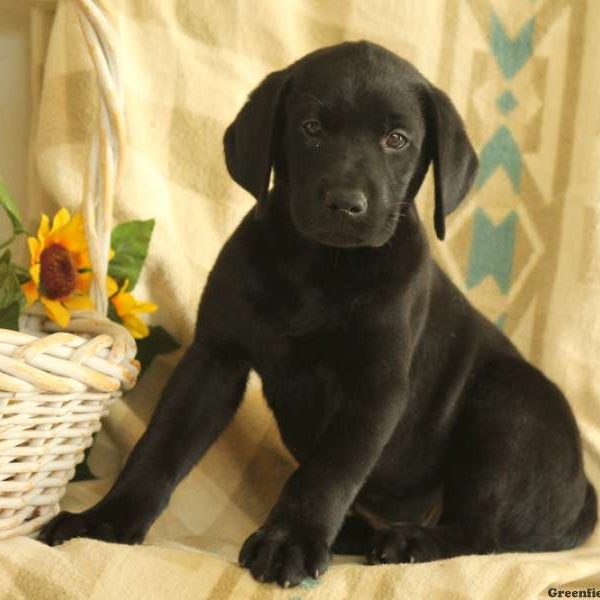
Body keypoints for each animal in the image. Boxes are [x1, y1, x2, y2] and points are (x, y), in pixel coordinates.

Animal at [39, 41, 596, 584]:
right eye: (311, 129)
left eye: (397, 139)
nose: (346, 204)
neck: (320, 268)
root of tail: (582, 494)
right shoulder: (214, 359)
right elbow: (159, 446)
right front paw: (106, 520)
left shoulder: (376, 386)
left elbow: (328, 471)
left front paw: (288, 543)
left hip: (508, 402)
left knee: (479, 532)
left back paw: (409, 541)